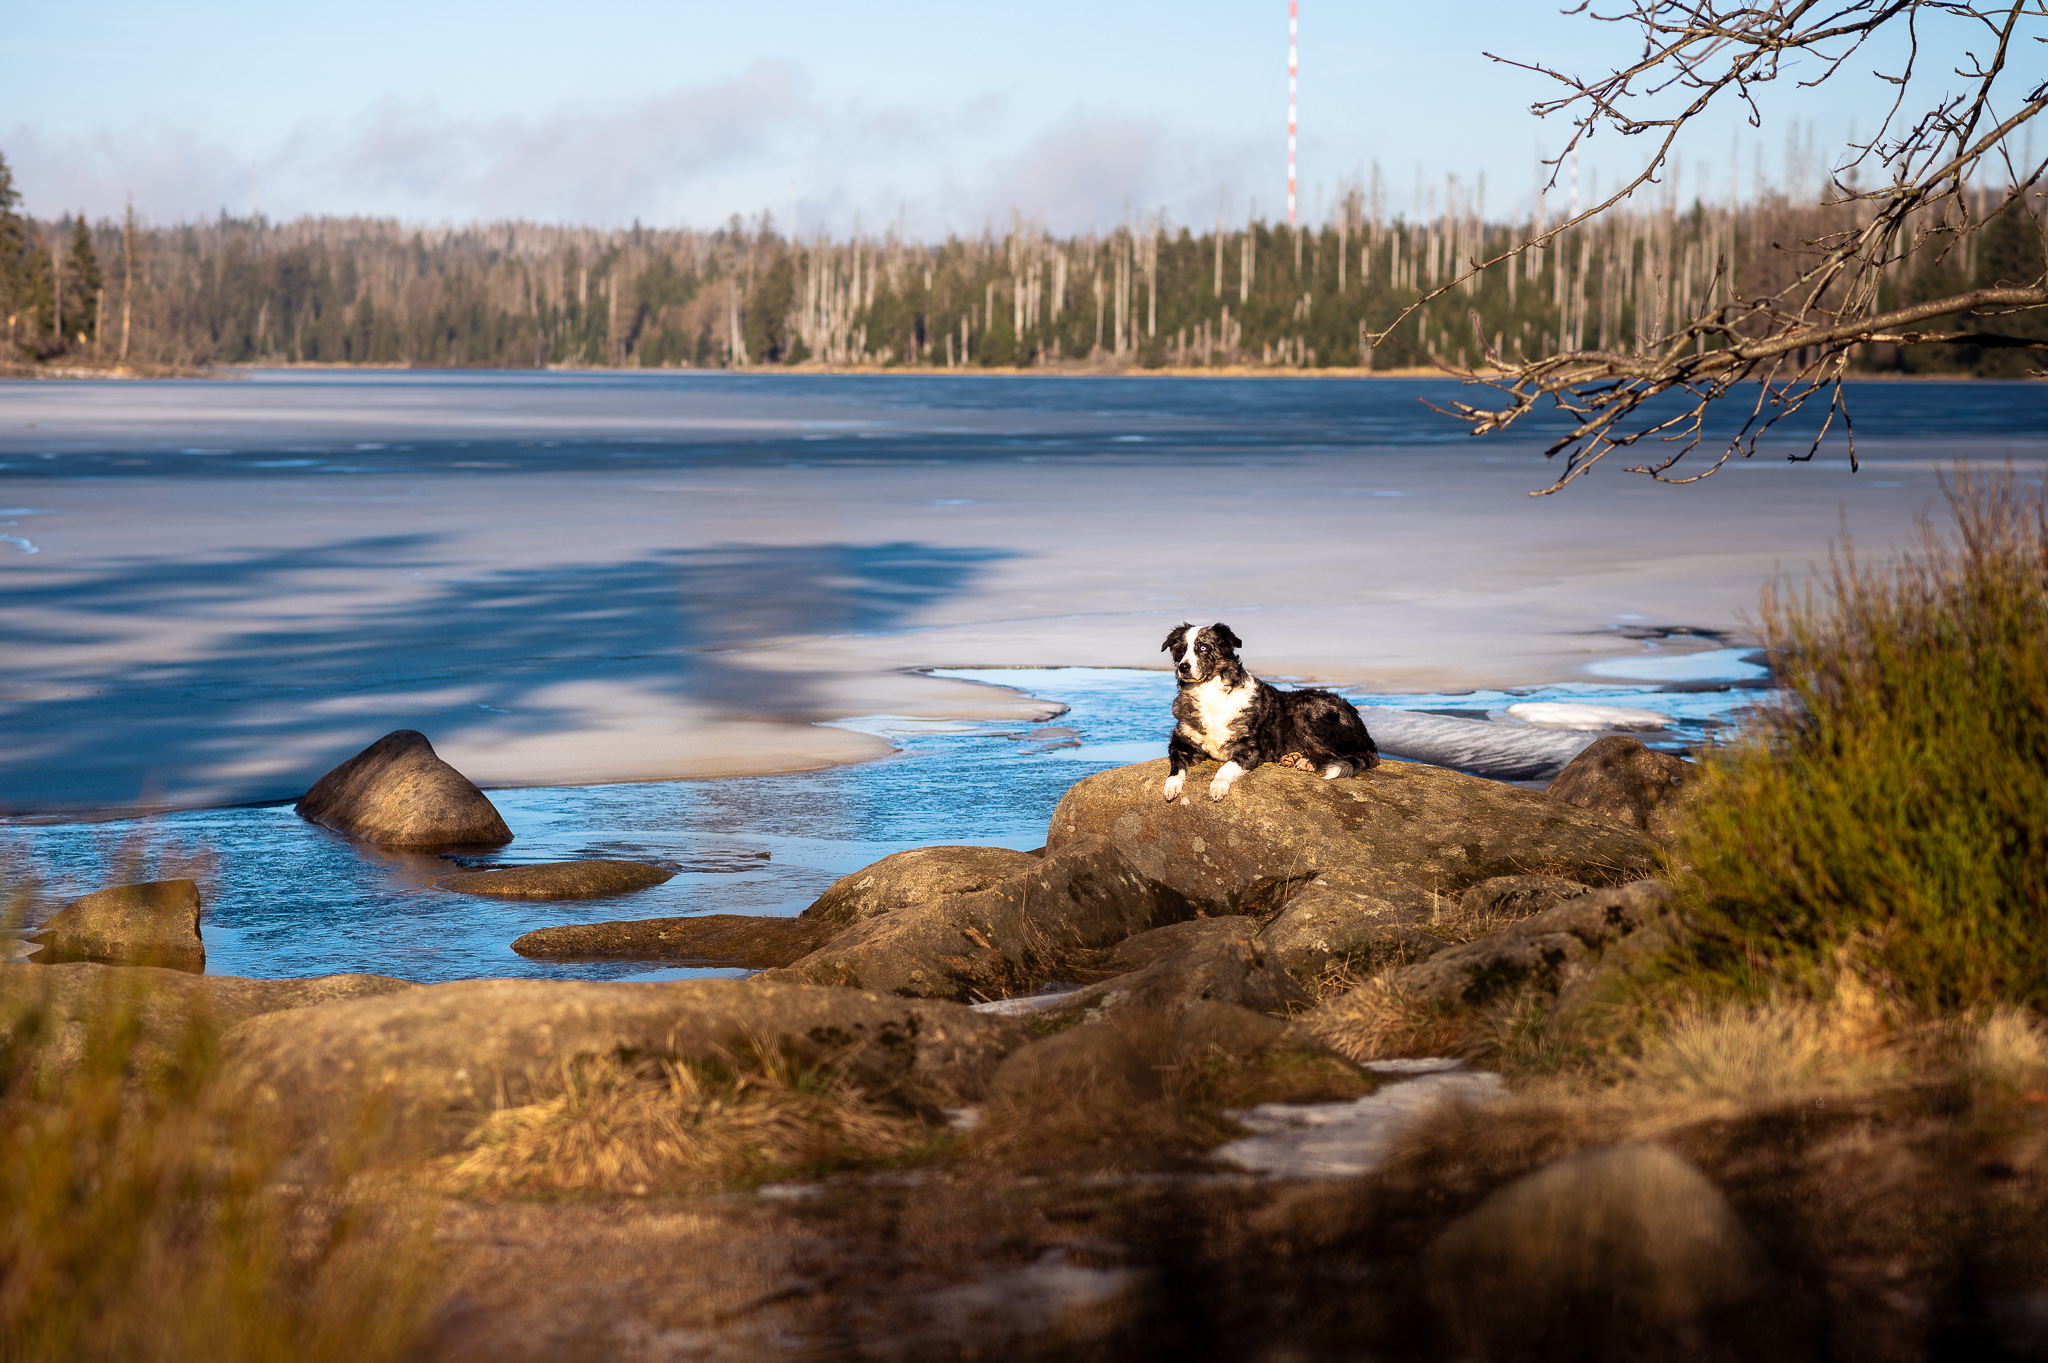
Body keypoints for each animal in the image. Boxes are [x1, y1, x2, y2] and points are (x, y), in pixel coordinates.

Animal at [1163, 622, 1384, 802]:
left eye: (1203, 647)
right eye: (1181, 649)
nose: (1183, 667)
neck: (1210, 694)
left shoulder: (1250, 750)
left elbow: (1224, 769)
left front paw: (1218, 786)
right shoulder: (1180, 743)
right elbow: (1175, 769)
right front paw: (1171, 786)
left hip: (1307, 710)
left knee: (1353, 755)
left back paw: (1308, 762)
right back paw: (1292, 757)